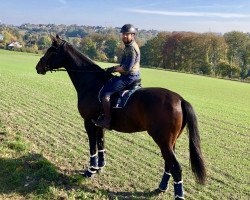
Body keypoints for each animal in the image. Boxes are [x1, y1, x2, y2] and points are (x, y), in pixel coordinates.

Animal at [35, 35, 207, 199]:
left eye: (51, 51)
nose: (38, 67)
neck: (92, 83)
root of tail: (180, 99)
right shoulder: (99, 125)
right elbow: (101, 144)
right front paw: (99, 167)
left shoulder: (88, 123)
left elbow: (92, 147)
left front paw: (90, 170)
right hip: (170, 142)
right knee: (168, 164)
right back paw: (161, 187)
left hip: (163, 140)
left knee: (176, 168)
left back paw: (177, 195)